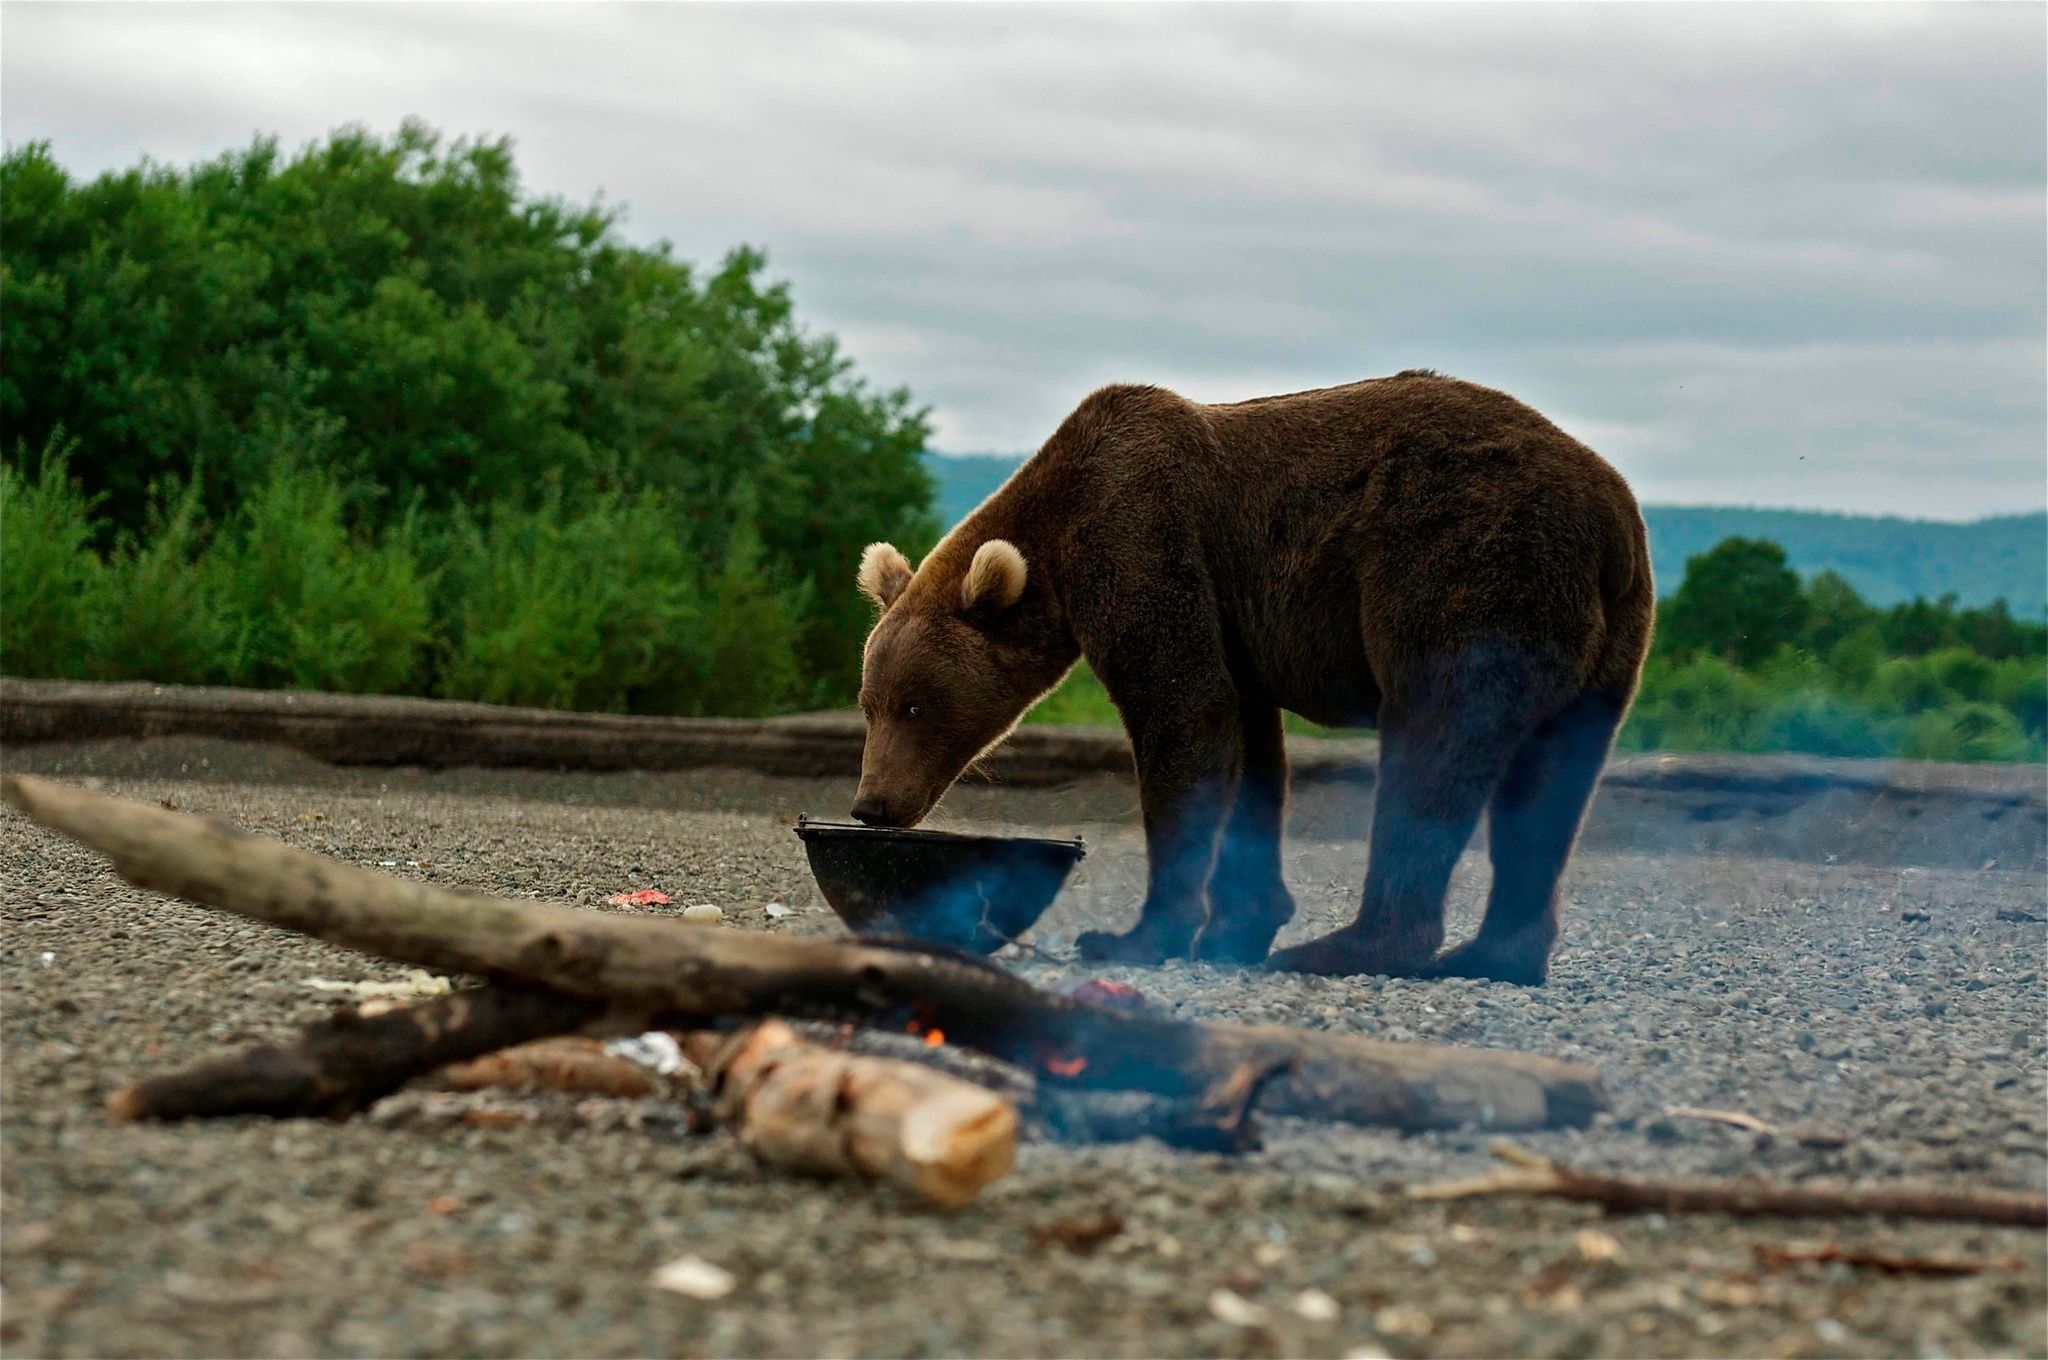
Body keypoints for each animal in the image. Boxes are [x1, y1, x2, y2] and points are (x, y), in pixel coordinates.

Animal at [843, 376, 1646, 983]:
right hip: (1604, 643)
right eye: (869, 706)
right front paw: (1235, 927)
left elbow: (1183, 716)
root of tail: (1608, 511)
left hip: (1466, 569)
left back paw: (1348, 947)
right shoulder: (1239, 626)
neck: (1060, 543)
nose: (871, 804)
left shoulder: (1144, 542)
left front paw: (1137, 936)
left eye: (916, 706)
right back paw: (1493, 956)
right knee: (1549, 790)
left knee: (1435, 744)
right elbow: (1252, 754)